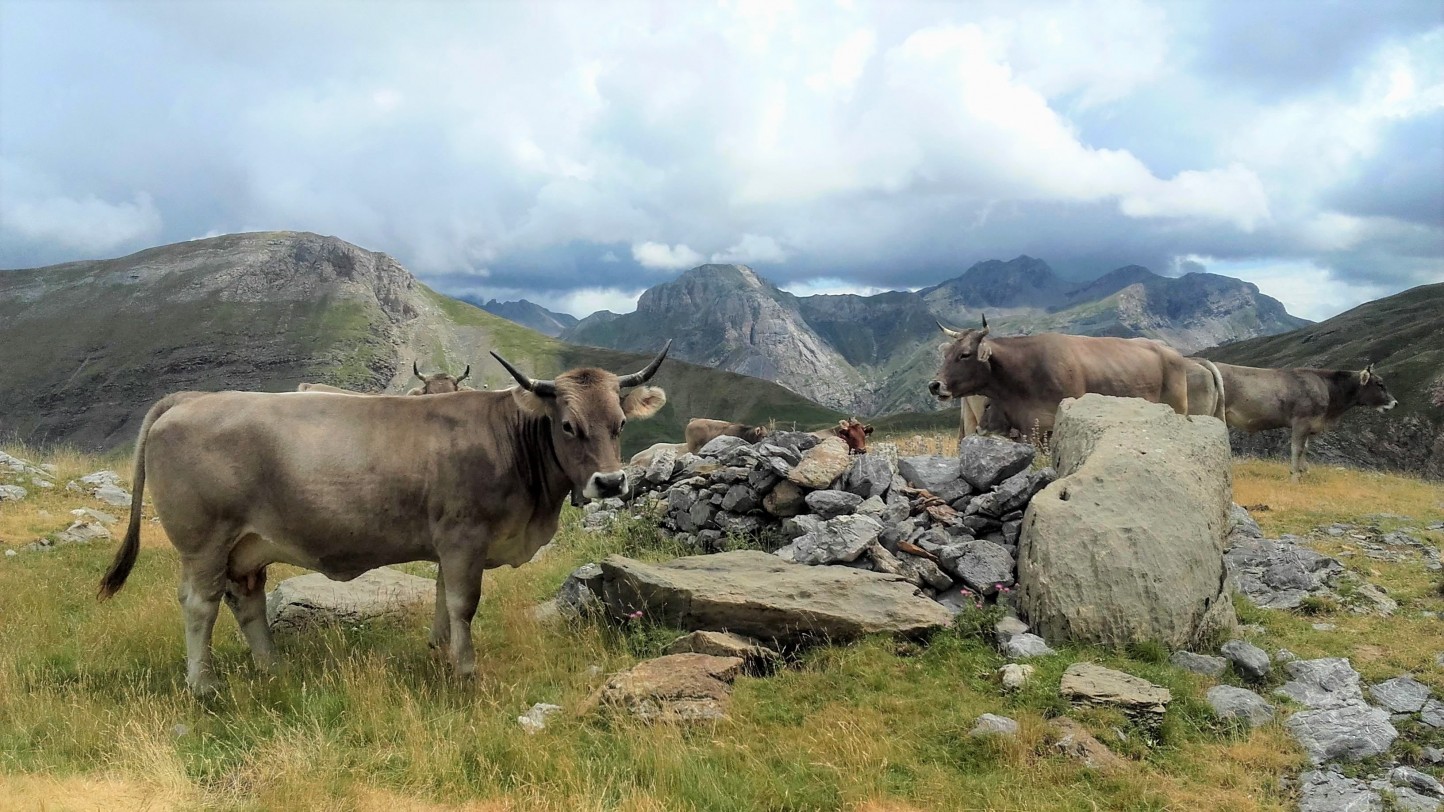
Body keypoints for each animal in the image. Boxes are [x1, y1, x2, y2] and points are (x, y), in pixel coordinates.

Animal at [96, 340, 670, 687]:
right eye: (568, 425)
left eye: (620, 423)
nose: (611, 482)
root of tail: (190, 399)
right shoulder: (464, 536)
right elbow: (463, 604)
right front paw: (466, 672)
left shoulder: (449, 543)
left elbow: (441, 598)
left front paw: (439, 652)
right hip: (204, 542)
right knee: (200, 605)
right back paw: (204, 684)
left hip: (247, 545)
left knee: (247, 601)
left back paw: (273, 667)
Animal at [929, 314, 1189, 436]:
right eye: (946, 353)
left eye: (964, 354)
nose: (934, 384)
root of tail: (1170, 352)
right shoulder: (1026, 429)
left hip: (1179, 409)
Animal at [1212, 359, 1392, 479]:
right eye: (1379, 383)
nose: (1395, 403)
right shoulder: (1301, 421)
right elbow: (1297, 449)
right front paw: (1294, 476)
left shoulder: (1309, 425)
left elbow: (1305, 448)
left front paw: (1304, 471)